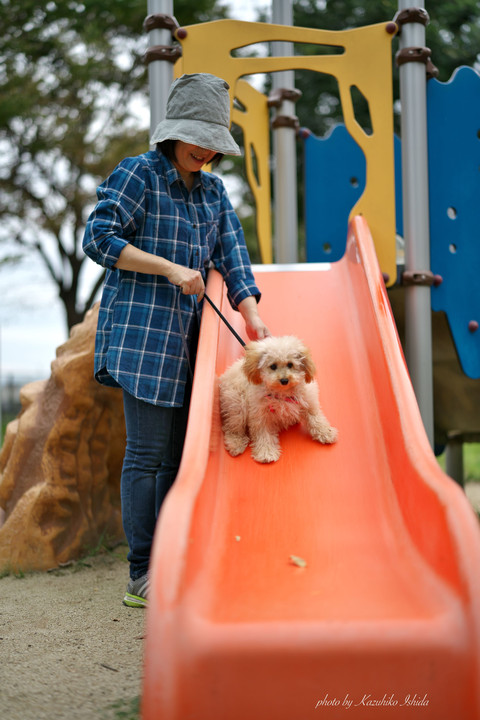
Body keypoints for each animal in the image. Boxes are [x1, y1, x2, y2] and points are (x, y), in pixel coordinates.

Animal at [218, 336, 338, 464]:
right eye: (273, 366)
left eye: (290, 364)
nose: (284, 380)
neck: (283, 393)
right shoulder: (260, 416)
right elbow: (263, 433)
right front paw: (266, 453)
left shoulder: (309, 402)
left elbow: (316, 419)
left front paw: (326, 432)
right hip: (237, 405)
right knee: (232, 428)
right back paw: (236, 444)